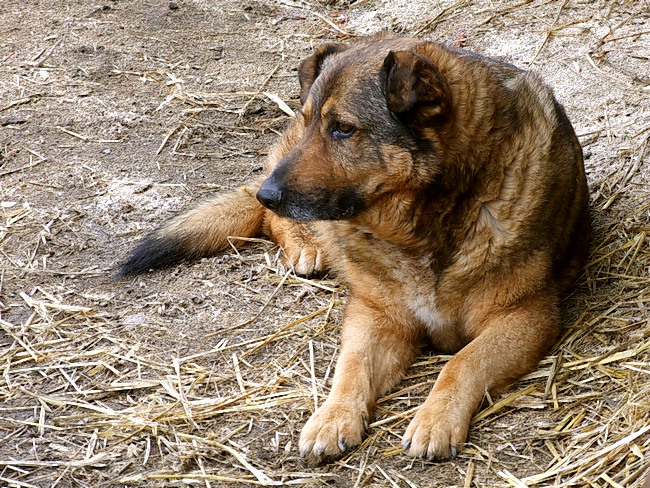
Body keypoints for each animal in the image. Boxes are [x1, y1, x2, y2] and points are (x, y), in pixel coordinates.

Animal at [119, 34, 588, 462]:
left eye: (343, 128)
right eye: (313, 121)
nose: (269, 195)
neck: (423, 225)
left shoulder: (527, 317)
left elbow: (463, 362)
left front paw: (435, 419)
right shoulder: (375, 315)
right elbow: (352, 367)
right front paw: (333, 416)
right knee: (274, 222)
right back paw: (303, 245)